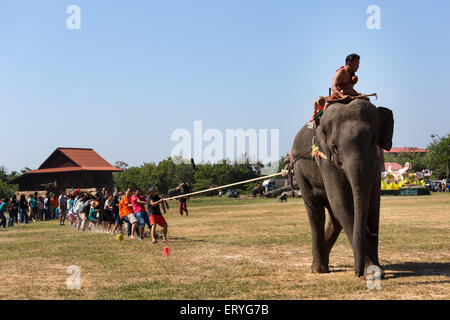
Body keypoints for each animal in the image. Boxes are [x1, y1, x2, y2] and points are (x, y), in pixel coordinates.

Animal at [292, 98, 394, 278]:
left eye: (374, 140)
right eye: (334, 147)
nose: (357, 272)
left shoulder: (376, 161)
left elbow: (374, 204)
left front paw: (376, 270)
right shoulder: (325, 160)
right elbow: (341, 202)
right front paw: (372, 271)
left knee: (334, 217)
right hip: (299, 171)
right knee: (316, 212)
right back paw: (317, 269)